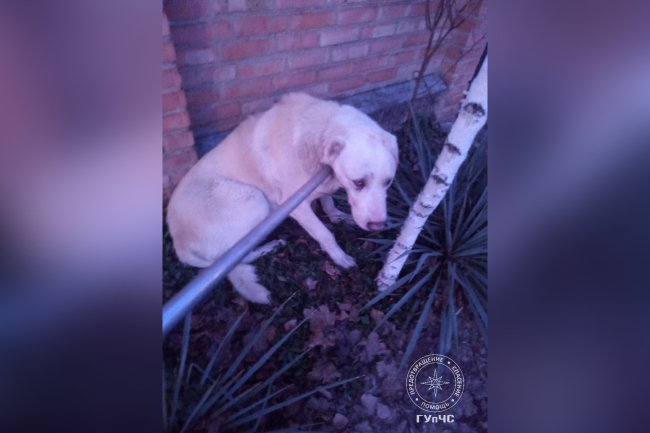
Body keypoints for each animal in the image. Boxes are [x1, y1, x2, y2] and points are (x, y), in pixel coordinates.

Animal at [166, 93, 398, 304]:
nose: (378, 226)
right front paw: (339, 256)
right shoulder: (297, 206)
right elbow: (325, 234)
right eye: (358, 182)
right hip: (253, 199)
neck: (318, 135)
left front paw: (337, 216)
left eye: (388, 182)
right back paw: (269, 247)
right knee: (238, 256)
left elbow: (328, 202)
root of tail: (180, 246)